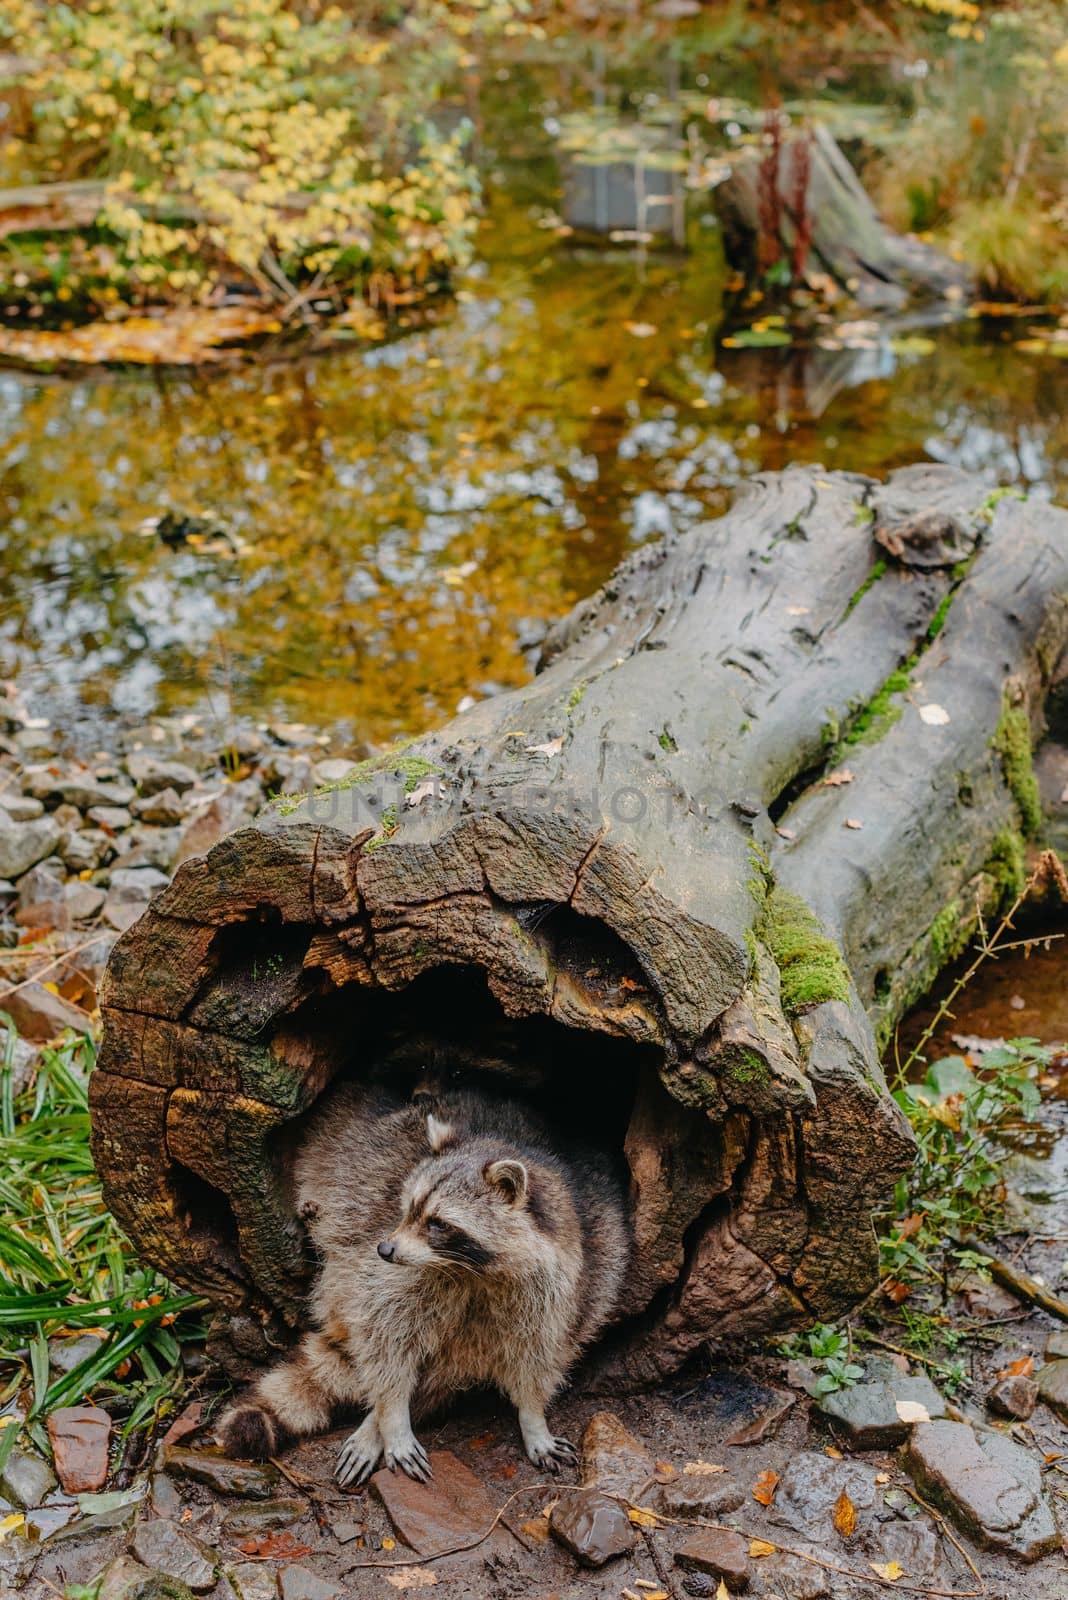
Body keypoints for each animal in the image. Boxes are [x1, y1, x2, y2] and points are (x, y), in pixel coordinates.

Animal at [220, 1075, 629, 1484]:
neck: (472, 1272)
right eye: (407, 1208)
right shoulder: (394, 1272)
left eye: (438, 1223)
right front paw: (390, 1418)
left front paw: (532, 1417)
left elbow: (540, 1355)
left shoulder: (572, 1281)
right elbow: (385, 1337)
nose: (385, 1249)